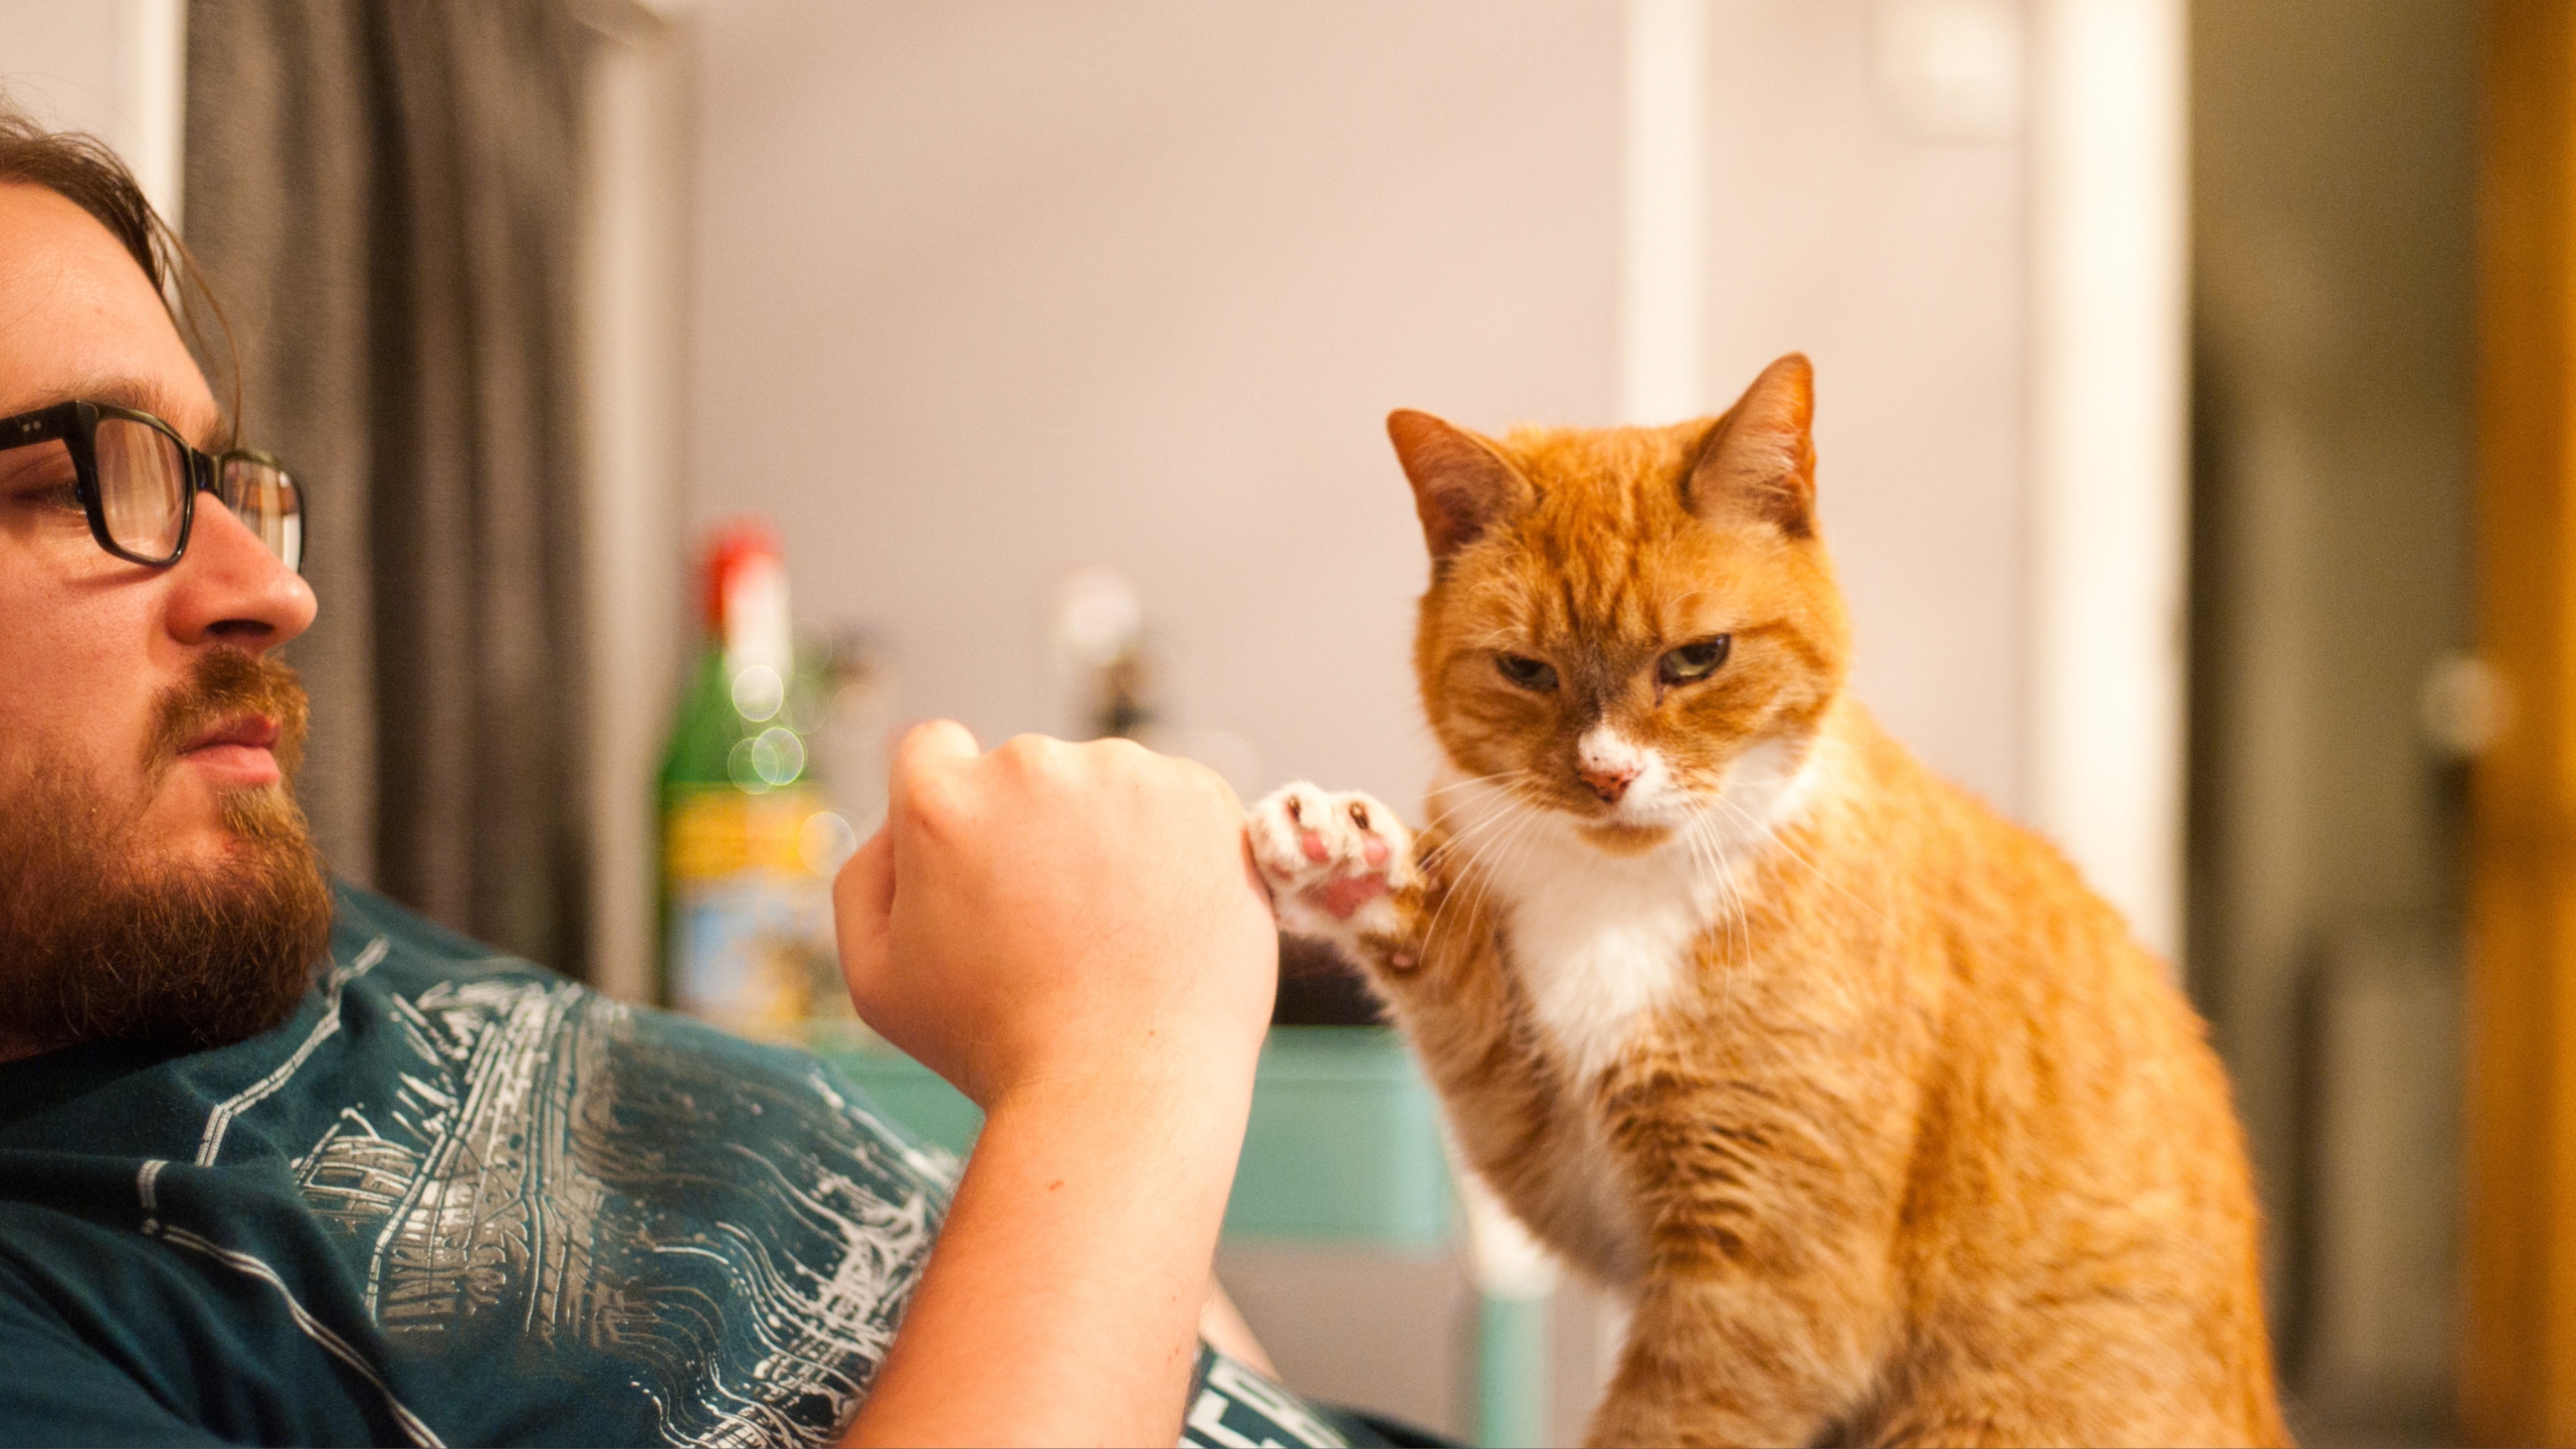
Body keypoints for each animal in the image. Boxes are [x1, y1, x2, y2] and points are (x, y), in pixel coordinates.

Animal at [1257, 355, 2287, 1449]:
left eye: (1696, 658)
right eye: (1526, 671)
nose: (1606, 775)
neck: (1628, 896)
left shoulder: (1769, 1277)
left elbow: (1662, 1426)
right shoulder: (1558, 1158)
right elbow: (1460, 989)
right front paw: (1346, 862)